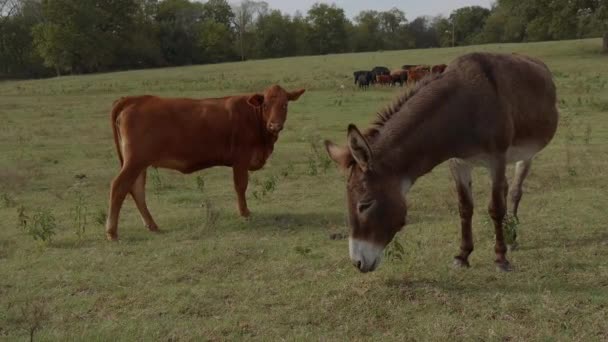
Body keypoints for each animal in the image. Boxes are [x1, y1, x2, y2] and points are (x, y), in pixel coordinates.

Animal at [105, 85, 306, 240]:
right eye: (265, 104)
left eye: (285, 104)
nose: (275, 125)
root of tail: (135, 99)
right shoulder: (240, 159)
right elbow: (241, 186)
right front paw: (244, 213)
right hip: (135, 161)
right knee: (119, 186)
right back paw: (112, 232)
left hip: (140, 163)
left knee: (136, 189)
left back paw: (152, 225)